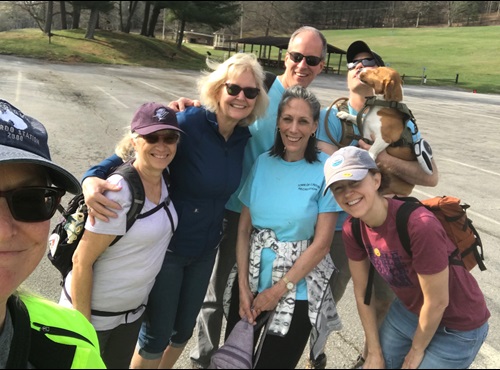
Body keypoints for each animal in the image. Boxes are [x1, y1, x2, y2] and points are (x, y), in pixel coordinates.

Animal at [338, 66, 416, 197]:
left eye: (376, 71)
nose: (359, 69)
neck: (384, 104)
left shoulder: (385, 139)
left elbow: (373, 149)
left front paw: (369, 157)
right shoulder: (365, 123)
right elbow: (356, 117)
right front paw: (345, 114)